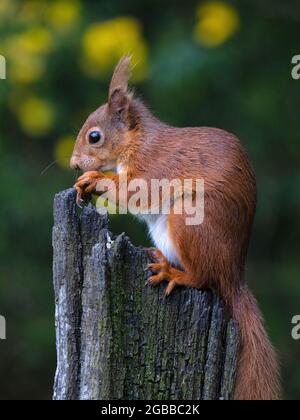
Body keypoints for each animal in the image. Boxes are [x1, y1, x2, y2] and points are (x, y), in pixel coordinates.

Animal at [70, 55, 282, 400]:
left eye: (94, 136)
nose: (74, 165)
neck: (137, 141)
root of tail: (234, 275)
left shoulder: (154, 167)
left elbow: (134, 192)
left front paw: (94, 180)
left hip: (189, 221)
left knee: (204, 278)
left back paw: (175, 274)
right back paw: (161, 258)